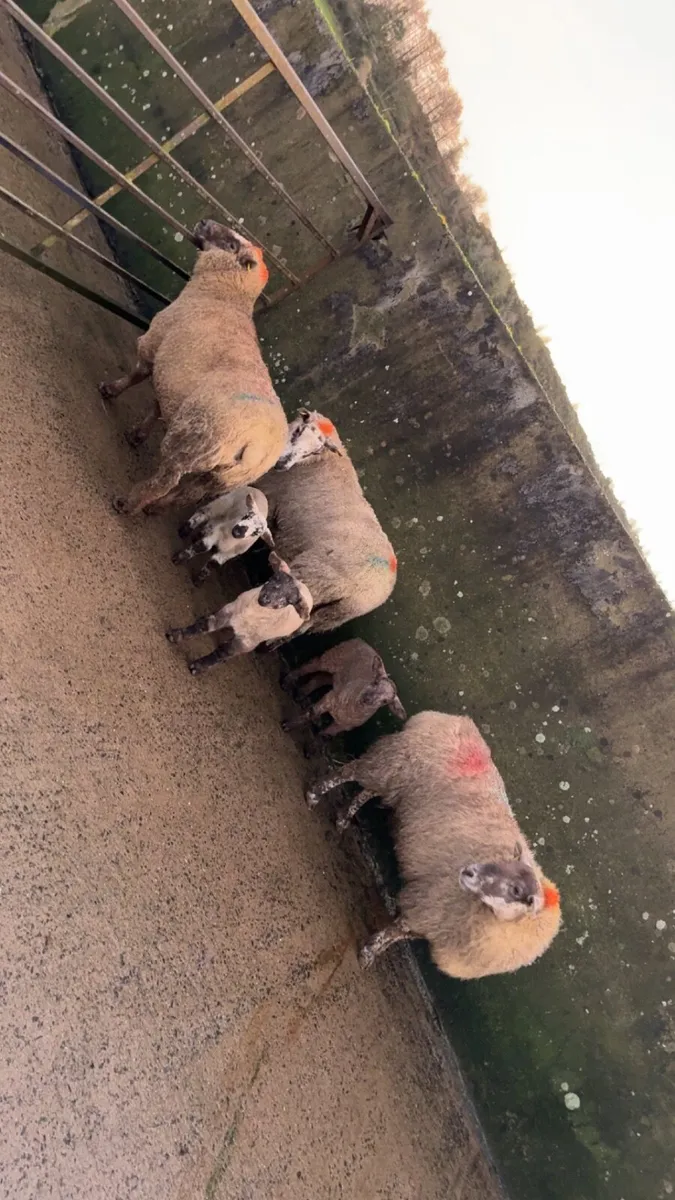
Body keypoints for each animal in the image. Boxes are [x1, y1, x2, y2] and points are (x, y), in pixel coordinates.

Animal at [99, 219, 288, 515]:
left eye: (232, 243)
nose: (203, 222)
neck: (224, 296)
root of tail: (257, 447)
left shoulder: (154, 345)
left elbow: (136, 376)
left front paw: (110, 390)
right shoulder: (176, 380)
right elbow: (156, 405)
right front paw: (138, 434)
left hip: (194, 442)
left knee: (165, 481)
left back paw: (128, 504)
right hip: (218, 476)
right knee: (187, 495)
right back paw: (154, 508)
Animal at [165, 551, 312, 675]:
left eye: (289, 601)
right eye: (275, 577)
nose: (266, 598)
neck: (251, 615)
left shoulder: (245, 643)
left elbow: (223, 653)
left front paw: (198, 667)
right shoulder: (227, 612)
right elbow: (203, 625)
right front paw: (176, 635)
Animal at [256, 409, 397, 642]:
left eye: (312, 451)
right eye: (298, 430)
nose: (282, 463)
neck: (319, 461)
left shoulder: (270, 495)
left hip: (313, 577)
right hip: (333, 614)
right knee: (302, 626)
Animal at [306, 712, 562, 980]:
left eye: (516, 890)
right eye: (504, 864)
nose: (469, 872)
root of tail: (454, 719)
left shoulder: (435, 926)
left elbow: (400, 934)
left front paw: (369, 953)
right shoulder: (432, 905)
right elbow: (395, 930)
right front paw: (367, 953)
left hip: (397, 780)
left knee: (368, 791)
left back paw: (343, 819)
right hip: (393, 761)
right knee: (350, 771)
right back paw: (314, 794)